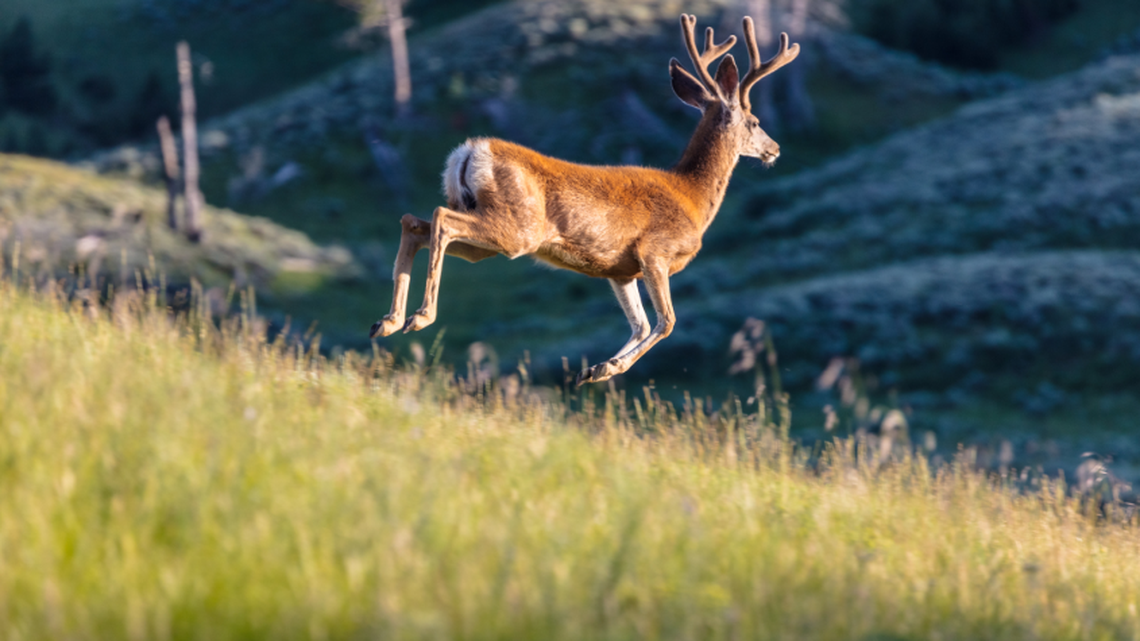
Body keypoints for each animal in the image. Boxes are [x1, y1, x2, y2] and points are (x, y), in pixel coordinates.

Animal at [370, 13, 800, 386]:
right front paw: (607, 367)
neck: (691, 195)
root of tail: (470, 151)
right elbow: (667, 321)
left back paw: (387, 322)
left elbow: (640, 323)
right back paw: (419, 317)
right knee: (440, 218)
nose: (776, 149)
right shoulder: (655, 251)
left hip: (485, 237)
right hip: (517, 229)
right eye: (755, 121)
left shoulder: (620, 270)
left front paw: (595, 370)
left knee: (415, 222)